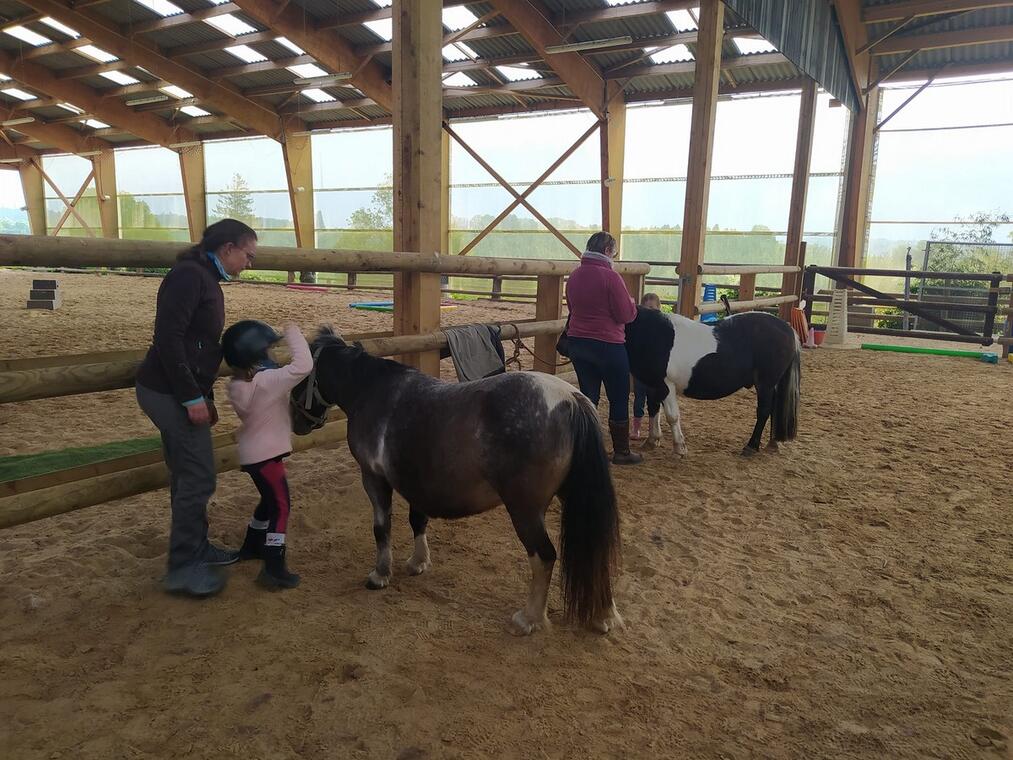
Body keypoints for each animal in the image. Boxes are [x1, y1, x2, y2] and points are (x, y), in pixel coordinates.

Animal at [291, 328, 624, 636]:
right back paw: (603, 615)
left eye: (299, 376)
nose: (297, 423)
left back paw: (528, 619)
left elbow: (381, 528)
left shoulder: (374, 478)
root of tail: (571, 399)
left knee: (544, 556)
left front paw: (380, 575)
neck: (372, 391)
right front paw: (418, 563)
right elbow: (417, 520)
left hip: (525, 510)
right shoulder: (415, 480)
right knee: (596, 551)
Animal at [624, 308, 798, 458]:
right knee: (774, 409)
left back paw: (751, 446)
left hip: (765, 384)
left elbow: (672, 416)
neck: (655, 334)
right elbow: (653, 409)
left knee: (764, 411)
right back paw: (772, 443)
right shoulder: (654, 385)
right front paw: (652, 440)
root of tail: (787, 328)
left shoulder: (666, 385)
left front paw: (679, 448)